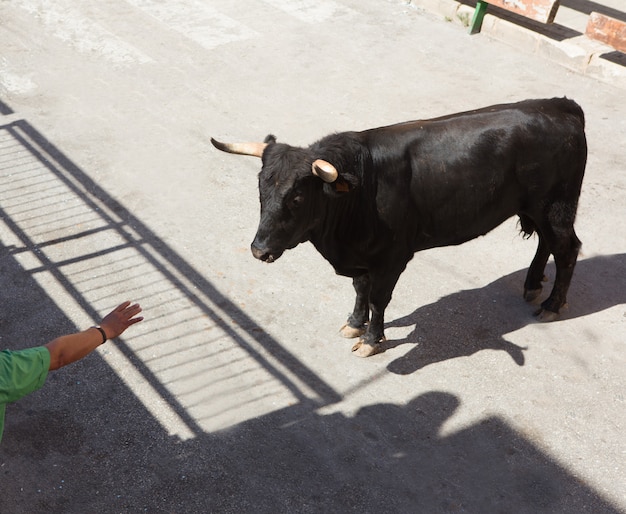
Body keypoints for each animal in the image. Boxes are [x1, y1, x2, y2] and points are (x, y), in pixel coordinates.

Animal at [213, 99, 584, 356]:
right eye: (261, 189)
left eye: (297, 197)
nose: (259, 250)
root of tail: (561, 105)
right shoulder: (363, 256)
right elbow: (360, 289)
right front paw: (354, 324)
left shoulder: (391, 258)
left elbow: (378, 298)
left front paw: (371, 340)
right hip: (540, 209)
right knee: (547, 244)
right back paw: (533, 284)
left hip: (557, 207)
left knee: (567, 249)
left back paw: (552, 305)